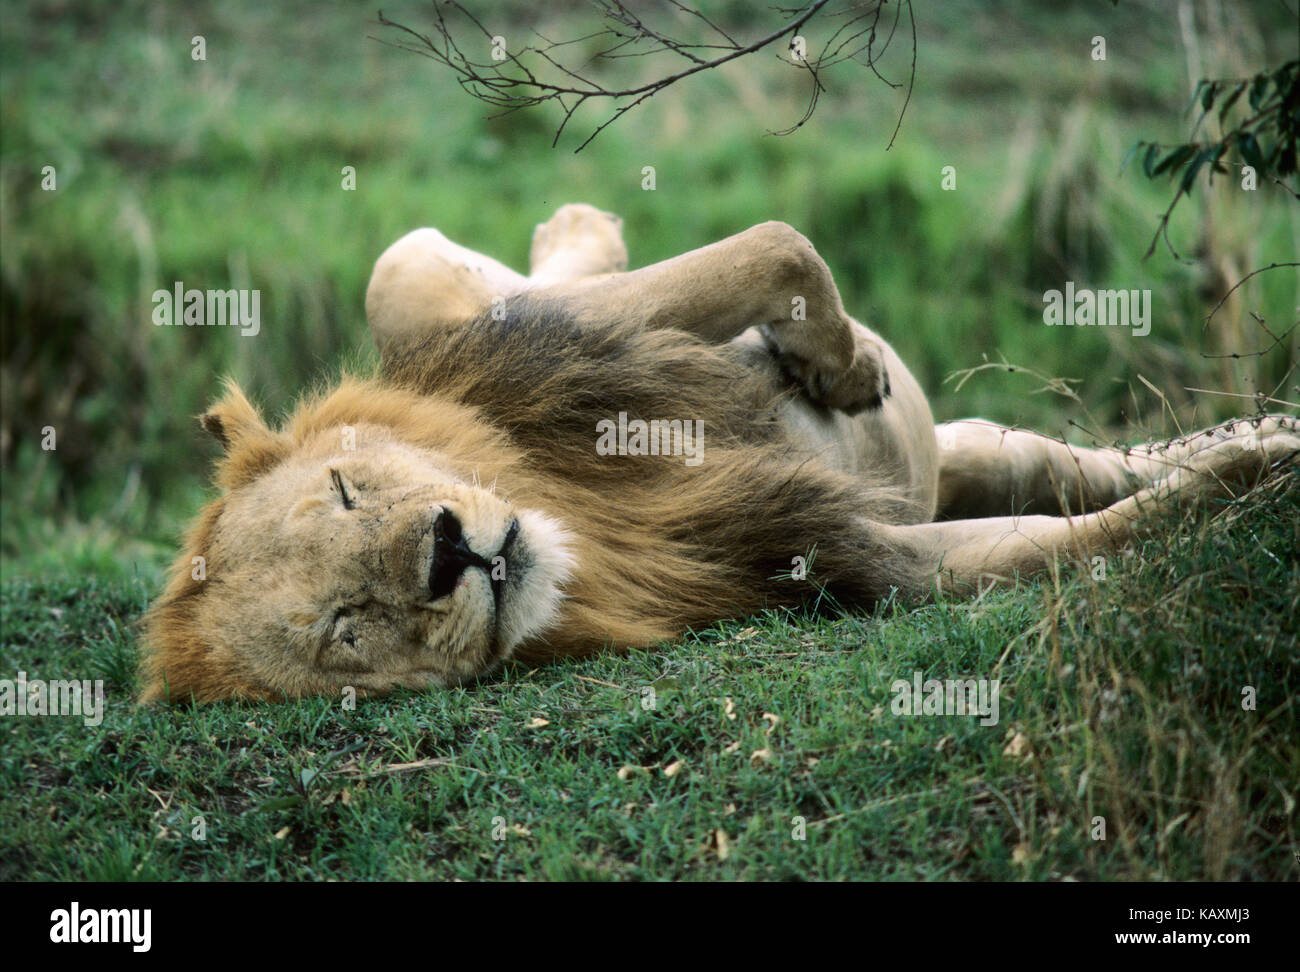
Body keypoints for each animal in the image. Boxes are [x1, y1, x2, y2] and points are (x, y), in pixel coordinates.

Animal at [139, 203, 1299, 702]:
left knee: (486, 255)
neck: (586, 520)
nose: (446, 555)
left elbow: (771, 248)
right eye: (346, 629)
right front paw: (1244, 482)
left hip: (433, 299)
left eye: (345, 489)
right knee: (1044, 466)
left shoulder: (566, 343)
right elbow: (1086, 535)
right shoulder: (839, 556)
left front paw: (833, 369)